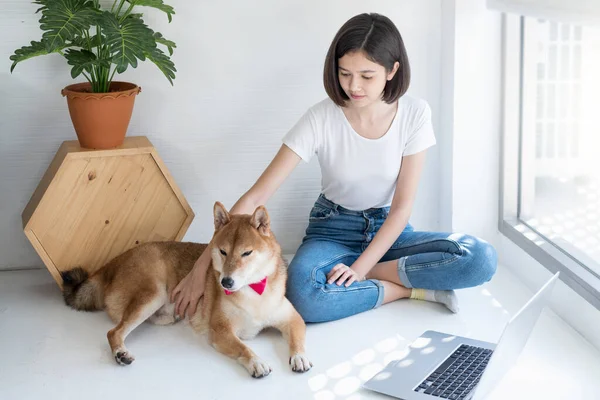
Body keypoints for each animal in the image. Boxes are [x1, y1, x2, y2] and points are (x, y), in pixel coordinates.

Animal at [60, 203, 312, 378]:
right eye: (222, 251)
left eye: (246, 253)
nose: (226, 282)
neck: (253, 292)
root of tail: (110, 264)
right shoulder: (221, 330)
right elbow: (244, 347)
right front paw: (257, 362)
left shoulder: (292, 318)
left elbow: (298, 338)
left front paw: (299, 357)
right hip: (154, 294)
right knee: (114, 332)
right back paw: (120, 353)